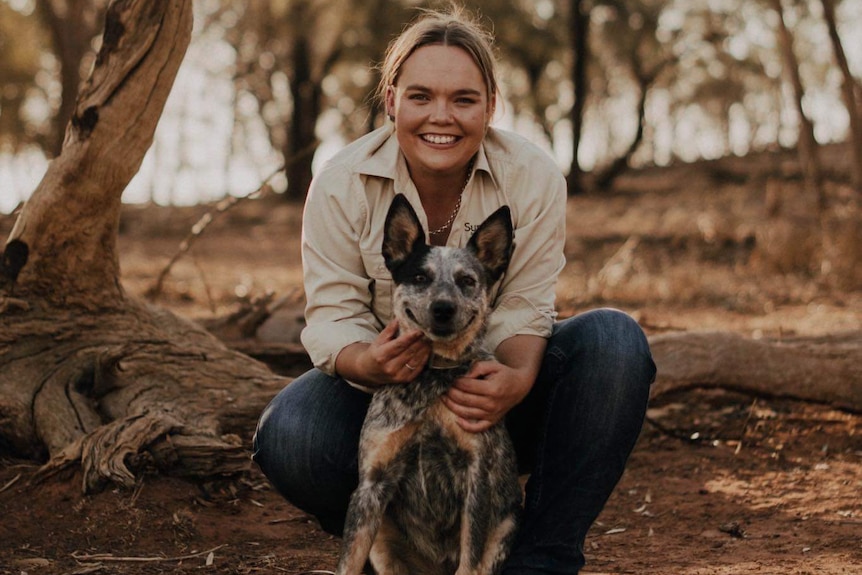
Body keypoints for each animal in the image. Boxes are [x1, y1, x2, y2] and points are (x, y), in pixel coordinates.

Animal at [338, 195, 524, 575]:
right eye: (420, 277)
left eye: (466, 280)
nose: (443, 308)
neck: (433, 377)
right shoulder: (371, 484)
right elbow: (348, 562)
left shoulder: (477, 481)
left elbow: (469, 559)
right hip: (382, 540)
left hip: (506, 526)